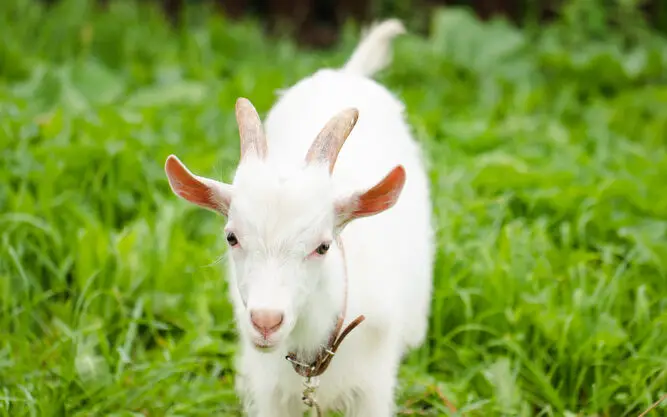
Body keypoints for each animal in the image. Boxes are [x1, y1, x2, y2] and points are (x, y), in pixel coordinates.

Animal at [164, 18, 435, 417]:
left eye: (323, 246)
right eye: (231, 237)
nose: (265, 321)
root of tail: (346, 74)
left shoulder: (372, 389)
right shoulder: (274, 393)